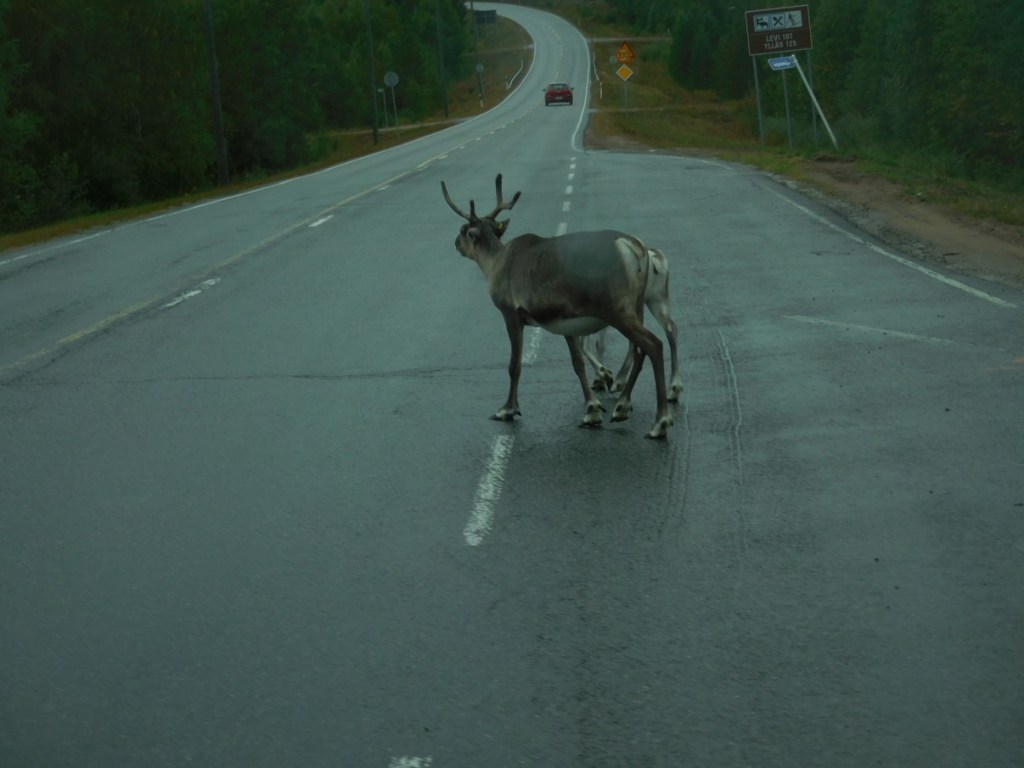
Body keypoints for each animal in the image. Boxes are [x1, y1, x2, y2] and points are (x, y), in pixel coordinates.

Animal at [581, 246, 684, 402]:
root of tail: (655, 260)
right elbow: (597, 344)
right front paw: (600, 379)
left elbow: (589, 345)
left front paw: (603, 376)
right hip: (657, 299)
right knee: (671, 329)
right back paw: (674, 389)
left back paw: (618, 382)